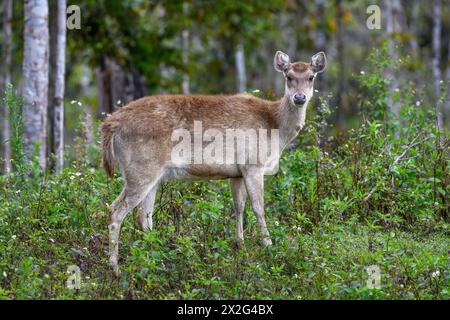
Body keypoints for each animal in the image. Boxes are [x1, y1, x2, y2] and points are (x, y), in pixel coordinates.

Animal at [101, 50, 326, 272]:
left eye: (311, 77)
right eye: (289, 77)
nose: (299, 97)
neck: (275, 126)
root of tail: (110, 124)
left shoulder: (237, 172)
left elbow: (238, 206)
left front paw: (240, 246)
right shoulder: (253, 164)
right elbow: (259, 207)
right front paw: (269, 247)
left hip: (151, 175)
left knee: (143, 217)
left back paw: (155, 260)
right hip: (140, 169)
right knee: (115, 211)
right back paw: (115, 267)